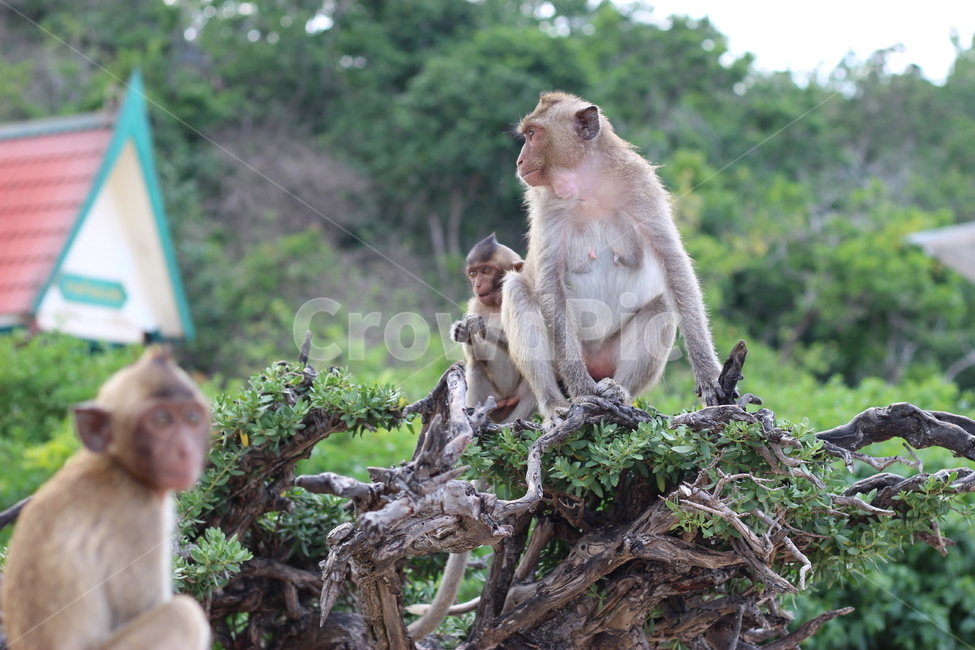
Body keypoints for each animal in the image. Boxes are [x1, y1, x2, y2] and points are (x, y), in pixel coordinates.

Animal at [0, 347, 212, 650]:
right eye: (161, 421)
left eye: (192, 419)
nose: (184, 451)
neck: (115, 464)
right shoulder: (140, 517)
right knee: (184, 615)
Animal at [451, 233, 539, 424]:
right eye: (473, 273)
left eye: (486, 271)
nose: (477, 285)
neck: (497, 303)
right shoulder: (475, 304)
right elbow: (475, 356)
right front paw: (462, 332)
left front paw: (481, 326)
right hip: (495, 401)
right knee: (476, 366)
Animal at [501, 92, 724, 418]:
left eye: (532, 134)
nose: (519, 160)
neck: (588, 183)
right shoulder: (545, 202)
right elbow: (550, 281)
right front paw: (581, 391)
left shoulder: (641, 186)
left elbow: (673, 264)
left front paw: (707, 374)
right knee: (517, 290)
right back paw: (555, 405)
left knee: (662, 305)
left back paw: (619, 391)